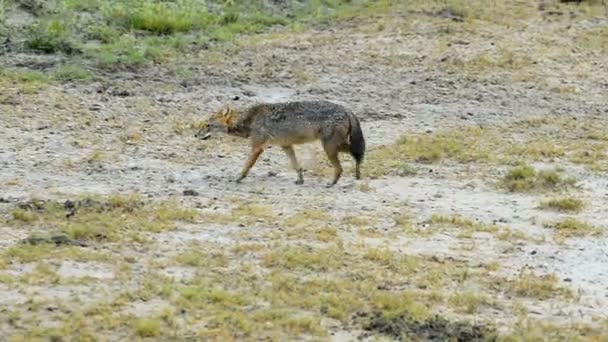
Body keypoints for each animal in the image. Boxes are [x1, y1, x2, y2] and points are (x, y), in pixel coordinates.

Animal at [202, 100, 366, 188]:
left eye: (208, 125)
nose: (197, 135)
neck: (250, 120)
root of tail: (347, 109)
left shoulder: (257, 148)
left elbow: (247, 166)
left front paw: (238, 178)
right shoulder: (286, 146)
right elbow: (296, 165)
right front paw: (300, 180)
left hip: (330, 148)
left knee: (345, 164)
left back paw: (333, 183)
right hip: (335, 147)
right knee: (356, 155)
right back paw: (357, 175)